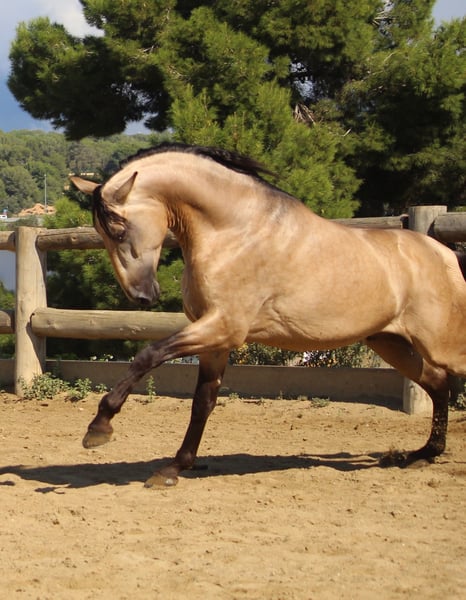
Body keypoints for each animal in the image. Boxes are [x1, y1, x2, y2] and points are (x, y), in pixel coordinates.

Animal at [71, 142, 466, 488]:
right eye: (101, 232)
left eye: (119, 227)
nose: (142, 295)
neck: (235, 232)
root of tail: (445, 254)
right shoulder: (215, 340)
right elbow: (202, 402)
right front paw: (173, 469)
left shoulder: (224, 327)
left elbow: (147, 355)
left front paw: (99, 427)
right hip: (390, 343)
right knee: (437, 383)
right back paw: (422, 454)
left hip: (439, 343)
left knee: (446, 379)